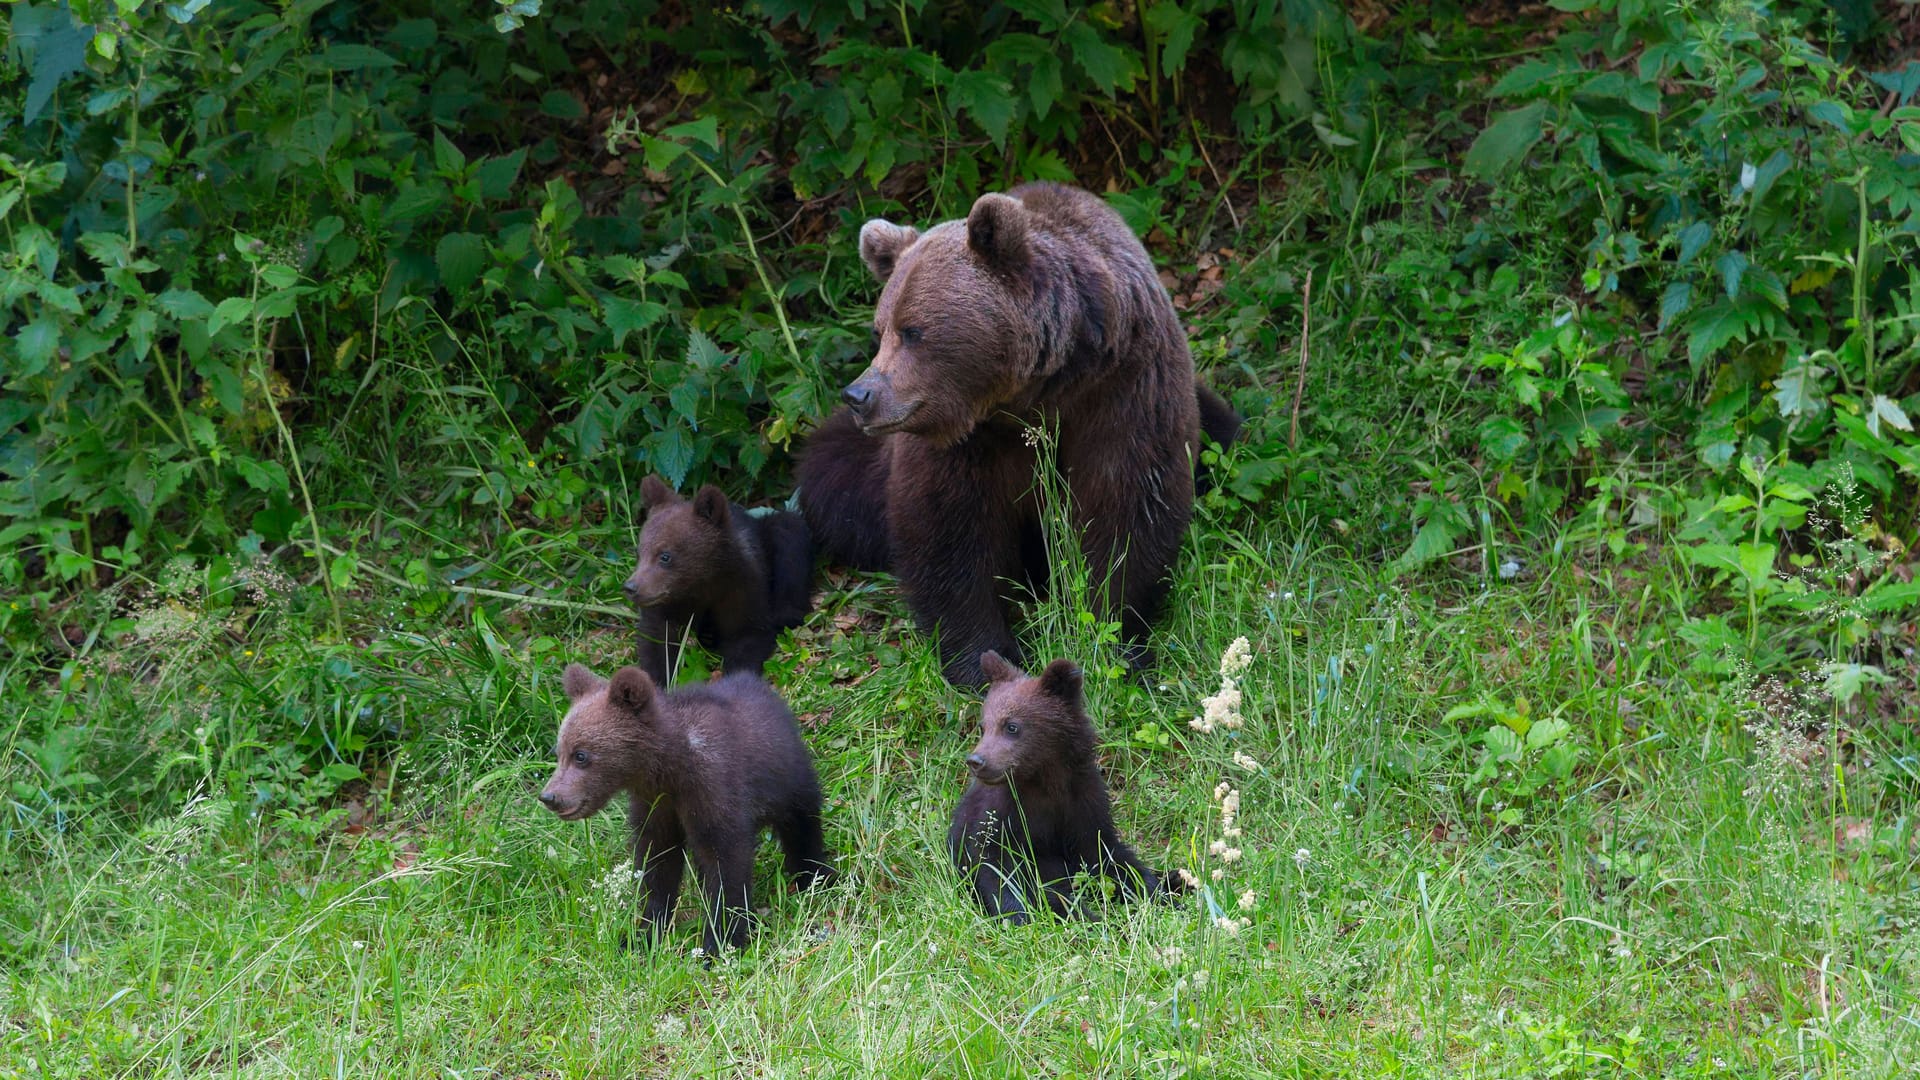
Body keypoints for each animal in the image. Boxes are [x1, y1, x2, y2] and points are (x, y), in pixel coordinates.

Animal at [791, 178, 1228, 680]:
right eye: (879, 331)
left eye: (913, 331)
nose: (860, 395)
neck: (1037, 390)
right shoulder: (964, 437)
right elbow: (950, 533)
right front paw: (985, 658)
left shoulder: (1125, 390)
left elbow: (1129, 506)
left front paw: (1116, 639)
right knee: (831, 477)